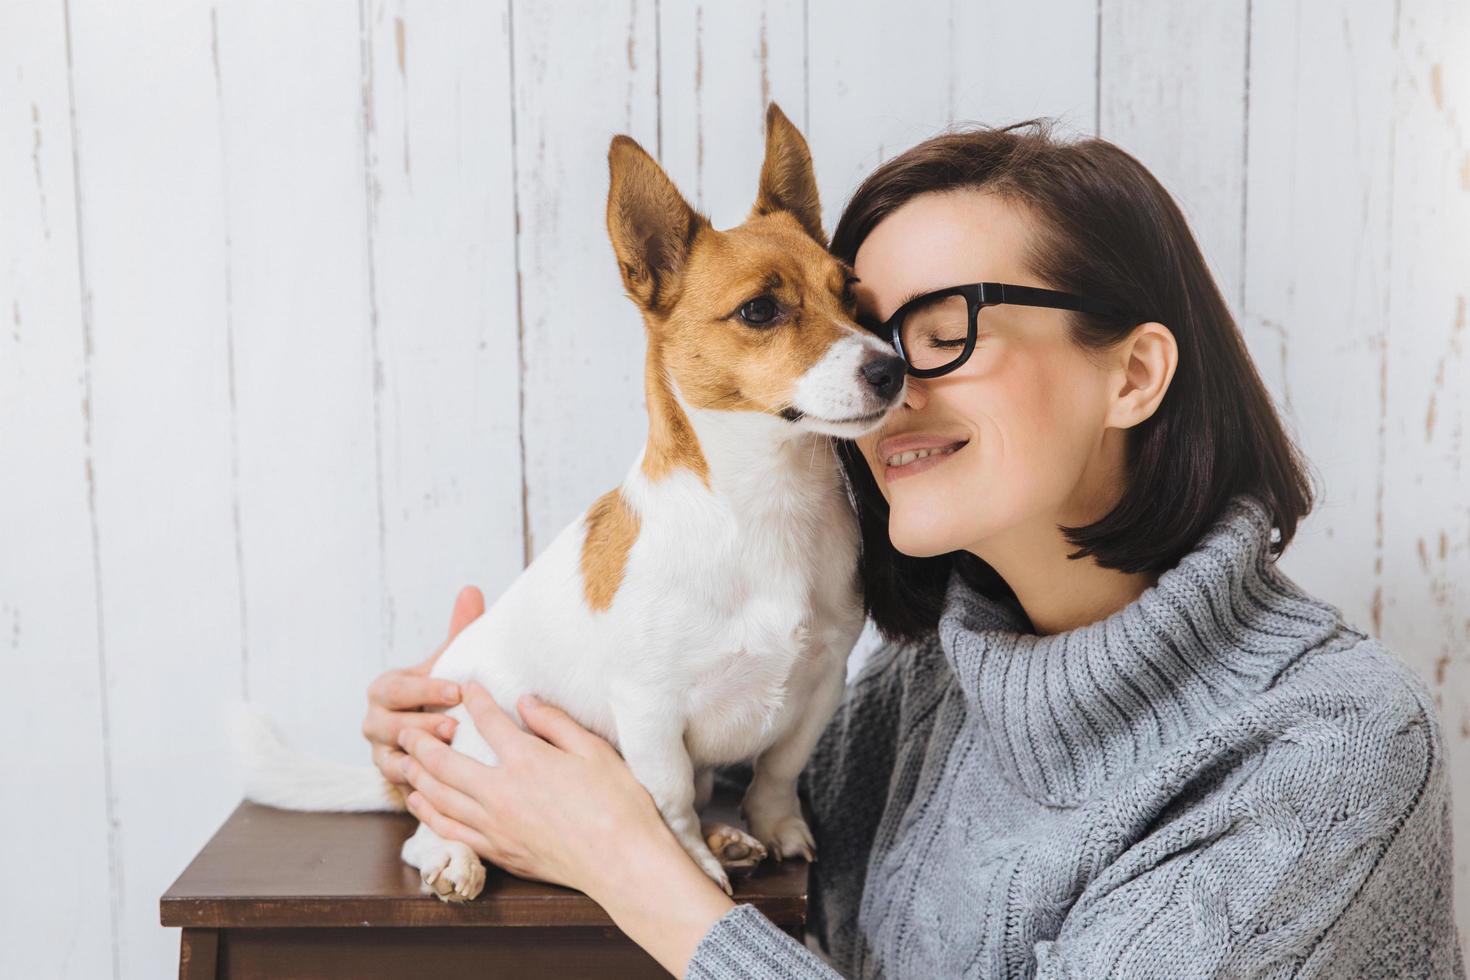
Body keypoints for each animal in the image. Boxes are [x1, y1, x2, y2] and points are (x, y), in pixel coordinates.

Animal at [238, 105, 905, 905]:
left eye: (854, 295)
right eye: (760, 310)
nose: (892, 369)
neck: (766, 506)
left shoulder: (820, 684)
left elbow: (777, 772)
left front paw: (771, 830)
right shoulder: (649, 708)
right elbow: (670, 798)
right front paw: (695, 863)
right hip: (477, 744)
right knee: (424, 830)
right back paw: (451, 857)